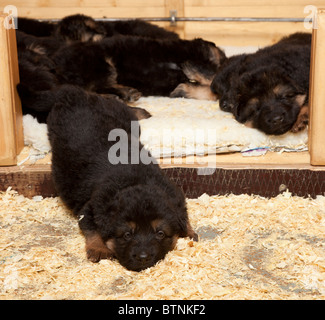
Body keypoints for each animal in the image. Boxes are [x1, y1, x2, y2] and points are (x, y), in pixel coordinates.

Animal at [46, 84, 196, 270]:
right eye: (127, 235)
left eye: (160, 233)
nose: (143, 258)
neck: (136, 181)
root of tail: (74, 95)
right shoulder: (90, 208)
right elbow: (92, 229)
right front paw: (99, 249)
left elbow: (183, 215)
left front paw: (190, 231)